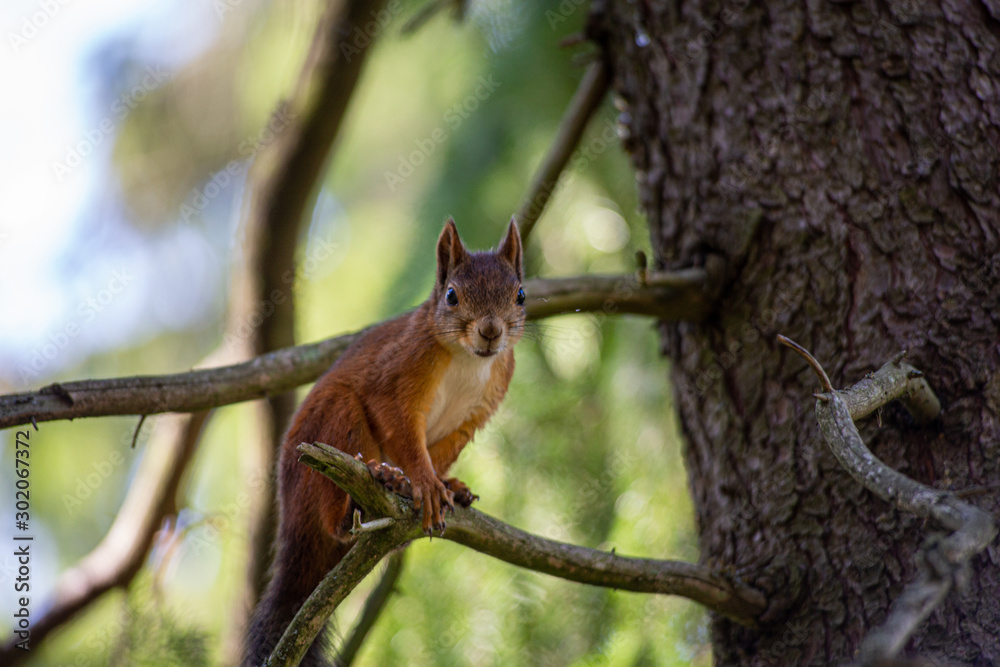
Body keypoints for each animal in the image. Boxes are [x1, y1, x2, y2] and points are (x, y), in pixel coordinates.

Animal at [244, 220, 524, 667]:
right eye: (451, 295)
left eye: (520, 294)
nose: (490, 331)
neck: (469, 360)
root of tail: (290, 519)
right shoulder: (396, 377)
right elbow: (403, 433)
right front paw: (424, 483)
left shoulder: (474, 415)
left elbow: (442, 452)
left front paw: (443, 486)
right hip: (334, 424)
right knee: (333, 518)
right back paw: (375, 484)